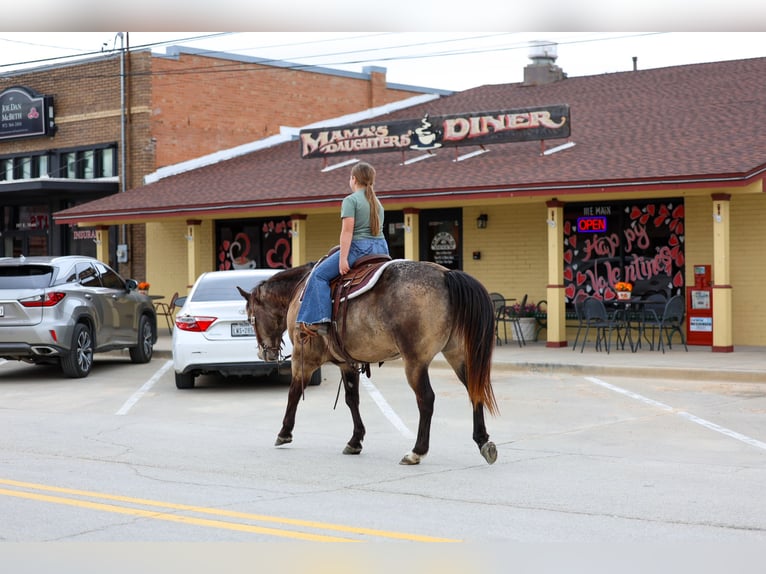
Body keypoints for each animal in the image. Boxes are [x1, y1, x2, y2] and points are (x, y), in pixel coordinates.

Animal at [238, 259, 499, 465]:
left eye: (251, 318)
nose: (265, 354)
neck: (298, 293)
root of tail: (446, 275)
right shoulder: (347, 363)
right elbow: (352, 399)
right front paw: (355, 440)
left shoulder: (305, 357)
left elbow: (293, 393)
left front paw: (284, 432)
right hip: (458, 354)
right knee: (474, 390)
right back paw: (483, 441)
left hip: (415, 362)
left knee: (426, 399)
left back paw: (416, 451)